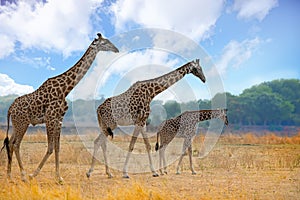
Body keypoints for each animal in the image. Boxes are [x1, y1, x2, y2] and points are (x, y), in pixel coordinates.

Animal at [1, 33, 118, 183]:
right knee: (16, 144)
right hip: (22, 123)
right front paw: (34, 174)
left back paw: (9, 175)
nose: (116, 49)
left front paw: (59, 177)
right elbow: (50, 148)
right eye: (104, 43)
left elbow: (57, 147)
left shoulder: (59, 119)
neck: (65, 90)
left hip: (17, 124)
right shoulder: (50, 118)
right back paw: (23, 175)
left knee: (10, 143)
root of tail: (10, 108)